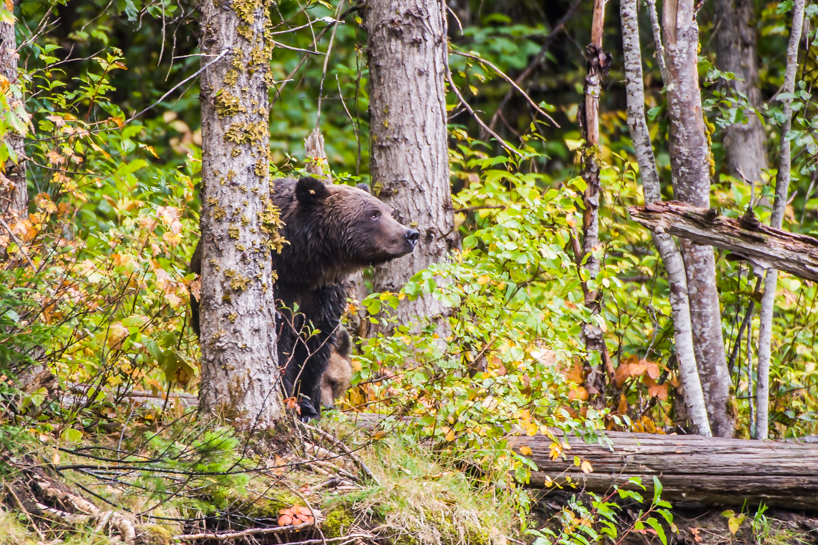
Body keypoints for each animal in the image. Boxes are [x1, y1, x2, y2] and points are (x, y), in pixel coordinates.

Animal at [190, 176, 418, 420]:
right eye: (373, 214)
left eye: (389, 211)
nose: (410, 235)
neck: (303, 266)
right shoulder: (280, 287)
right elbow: (281, 344)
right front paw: (289, 401)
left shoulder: (324, 296)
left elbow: (314, 348)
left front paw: (308, 406)